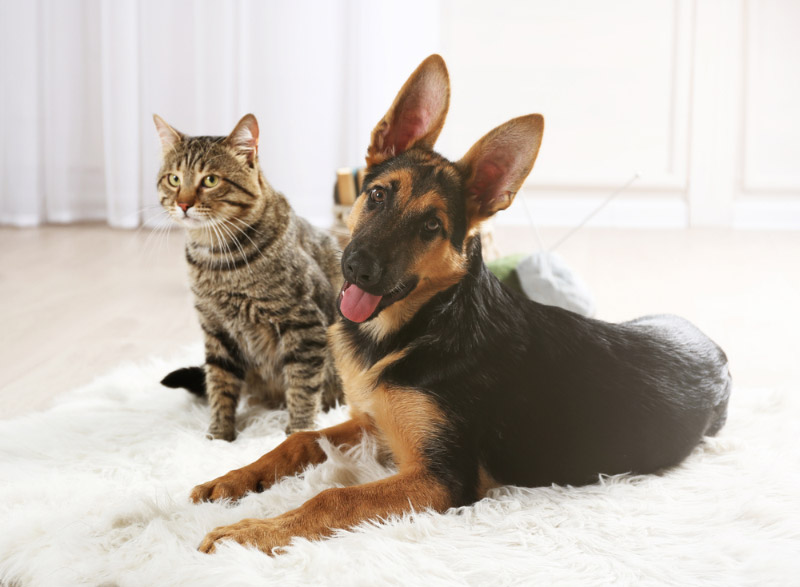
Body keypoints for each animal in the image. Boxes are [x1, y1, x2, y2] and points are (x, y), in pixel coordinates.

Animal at [154, 112, 344, 438]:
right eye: (174, 179)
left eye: (211, 180)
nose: (183, 204)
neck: (217, 261)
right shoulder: (215, 328)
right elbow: (219, 382)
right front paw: (219, 435)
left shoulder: (304, 323)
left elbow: (303, 384)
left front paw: (300, 431)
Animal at [189, 55, 732, 556]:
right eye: (378, 195)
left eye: (431, 226)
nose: (358, 268)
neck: (424, 324)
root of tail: (714, 348)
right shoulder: (373, 423)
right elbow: (297, 439)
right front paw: (232, 480)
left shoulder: (442, 478)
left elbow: (331, 498)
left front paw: (248, 533)